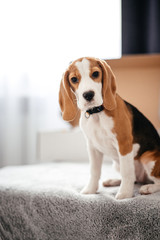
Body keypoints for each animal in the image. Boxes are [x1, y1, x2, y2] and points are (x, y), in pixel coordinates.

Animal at [58, 57, 160, 200]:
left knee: (153, 181)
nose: (88, 95)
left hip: (147, 158)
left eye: (95, 73)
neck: (96, 113)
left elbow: (127, 172)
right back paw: (113, 181)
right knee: (135, 179)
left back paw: (148, 188)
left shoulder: (124, 143)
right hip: (116, 164)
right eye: (73, 79)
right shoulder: (92, 147)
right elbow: (94, 171)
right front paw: (90, 190)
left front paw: (125, 194)